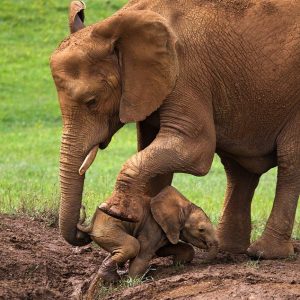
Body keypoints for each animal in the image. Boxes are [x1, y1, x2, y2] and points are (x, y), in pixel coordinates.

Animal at [50, 0, 298, 258]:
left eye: (92, 101)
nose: (83, 228)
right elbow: (153, 155)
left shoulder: (187, 73)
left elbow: (194, 149)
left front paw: (114, 211)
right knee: (238, 170)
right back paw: (229, 249)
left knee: (289, 161)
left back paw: (265, 253)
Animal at [77, 186, 218, 282]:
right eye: (201, 229)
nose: (205, 263)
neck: (182, 207)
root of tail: (90, 224)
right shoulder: (152, 226)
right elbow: (144, 254)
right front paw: (134, 281)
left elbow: (162, 249)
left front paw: (178, 263)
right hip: (107, 230)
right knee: (132, 246)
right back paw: (112, 278)